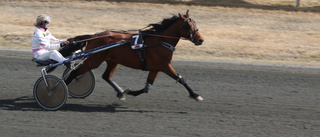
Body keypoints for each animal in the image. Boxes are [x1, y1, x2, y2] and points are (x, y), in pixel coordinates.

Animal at [64, 9, 204, 100]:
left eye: (195, 23)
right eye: (187, 25)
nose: (201, 40)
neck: (161, 41)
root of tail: (94, 36)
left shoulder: (156, 68)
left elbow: (147, 87)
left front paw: (130, 92)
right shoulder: (164, 65)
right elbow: (181, 79)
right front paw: (195, 95)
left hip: (113, 61)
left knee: (106, 76)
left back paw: (121, 93)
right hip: (94, 60)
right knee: (75, 73)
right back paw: (62, 86)